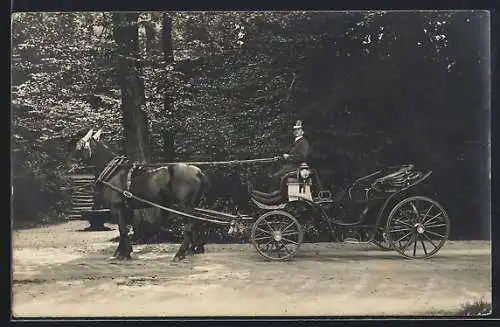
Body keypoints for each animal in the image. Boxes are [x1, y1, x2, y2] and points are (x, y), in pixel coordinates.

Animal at [73, 129, 210, 262]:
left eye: (79, 144)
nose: (72, 164)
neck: (114, 171)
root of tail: (198, 172)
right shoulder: (124, 209)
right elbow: (124, 229)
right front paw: (122, 251)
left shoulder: (117, 207)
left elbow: (122, 229)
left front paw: (124, 254)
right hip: (191, 206)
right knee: (195, 224)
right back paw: (194, 249)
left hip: (184, 206)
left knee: (188, 227)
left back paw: (180, 253)